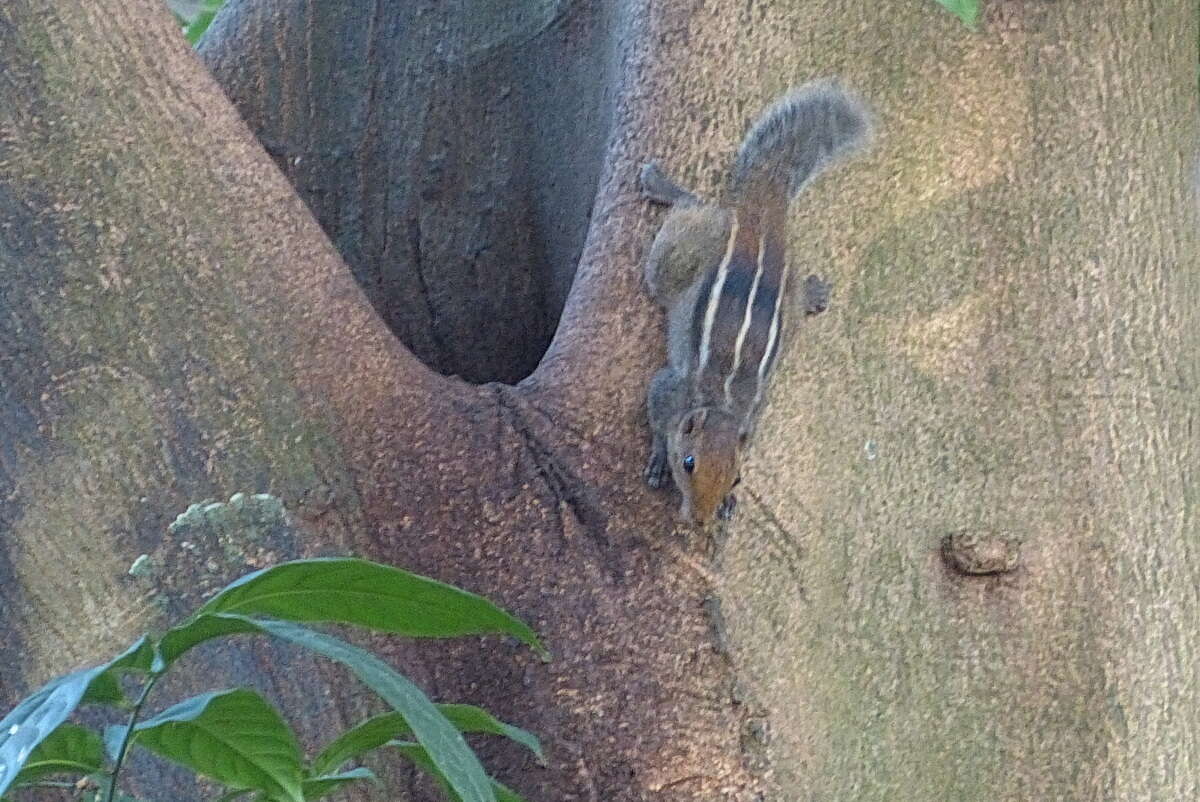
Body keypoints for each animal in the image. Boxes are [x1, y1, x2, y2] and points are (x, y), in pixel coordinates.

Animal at [638, 79, 873, 525]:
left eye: (737, 478)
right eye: (689, 463)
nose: (700, 518)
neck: (723, 406)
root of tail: (758, 220)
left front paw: (728, 505)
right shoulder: (668, 389)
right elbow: (657, 418)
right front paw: (658, 458)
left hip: (790, 280)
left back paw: (814, 295)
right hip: (681, 251)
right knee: (692, 207)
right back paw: (660, 184)